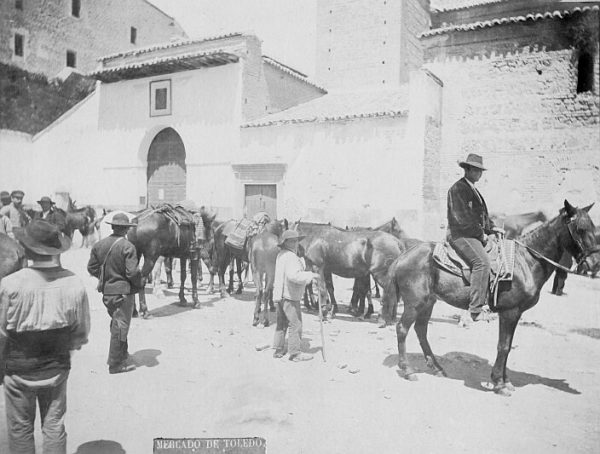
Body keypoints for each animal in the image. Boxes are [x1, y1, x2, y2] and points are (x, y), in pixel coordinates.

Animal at [384, 200, 600, 396]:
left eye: (593, 227)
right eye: (580, 229)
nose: (595, 263)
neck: (526, 261)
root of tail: (403, 255)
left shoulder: (516, 314)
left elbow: (508, 346)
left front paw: (505, 381)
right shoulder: (509, 312)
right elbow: (503, 346)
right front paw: (499, 383)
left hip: (429, 302)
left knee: (421, 330)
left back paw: (437, 367)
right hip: (414, 303)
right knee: (402, 329)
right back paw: (407, 370)